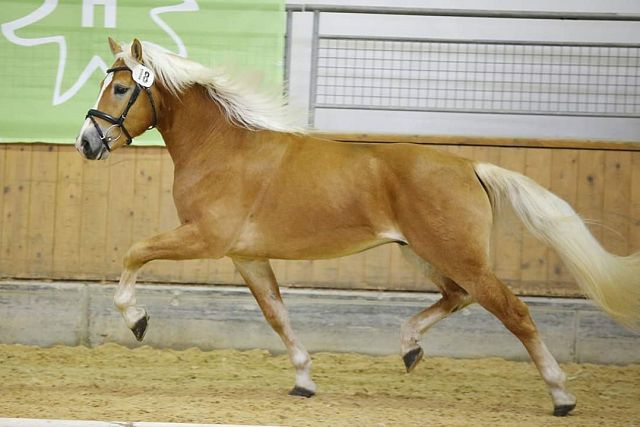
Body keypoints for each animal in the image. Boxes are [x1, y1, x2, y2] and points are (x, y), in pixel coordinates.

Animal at [76, 37, 640, 418]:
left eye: (121, 87)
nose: (87, 143)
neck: (224, 148)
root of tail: (470, 167)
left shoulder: (205, 238)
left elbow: (133, 252)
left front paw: (137, 320)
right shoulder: (246, 255)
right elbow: (277, 315)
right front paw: (304, 380)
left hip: (458, 255)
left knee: (513, 311)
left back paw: (561, 395)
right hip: (424, 253)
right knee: (457, 296)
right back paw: (409, 347)